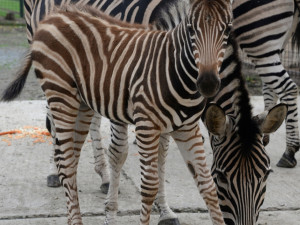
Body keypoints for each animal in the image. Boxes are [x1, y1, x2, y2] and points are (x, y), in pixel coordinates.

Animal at [1, 0, 234, 224]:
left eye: (228, 29)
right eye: (191, 29)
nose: (208, 84)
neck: (172, 67)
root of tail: (53, 16)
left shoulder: (186, 129)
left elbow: (207, 186)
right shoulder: (146, 126)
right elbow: (148, 186)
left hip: (82, 103)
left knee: (70, 161)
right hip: (60, 95)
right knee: (65, 161)